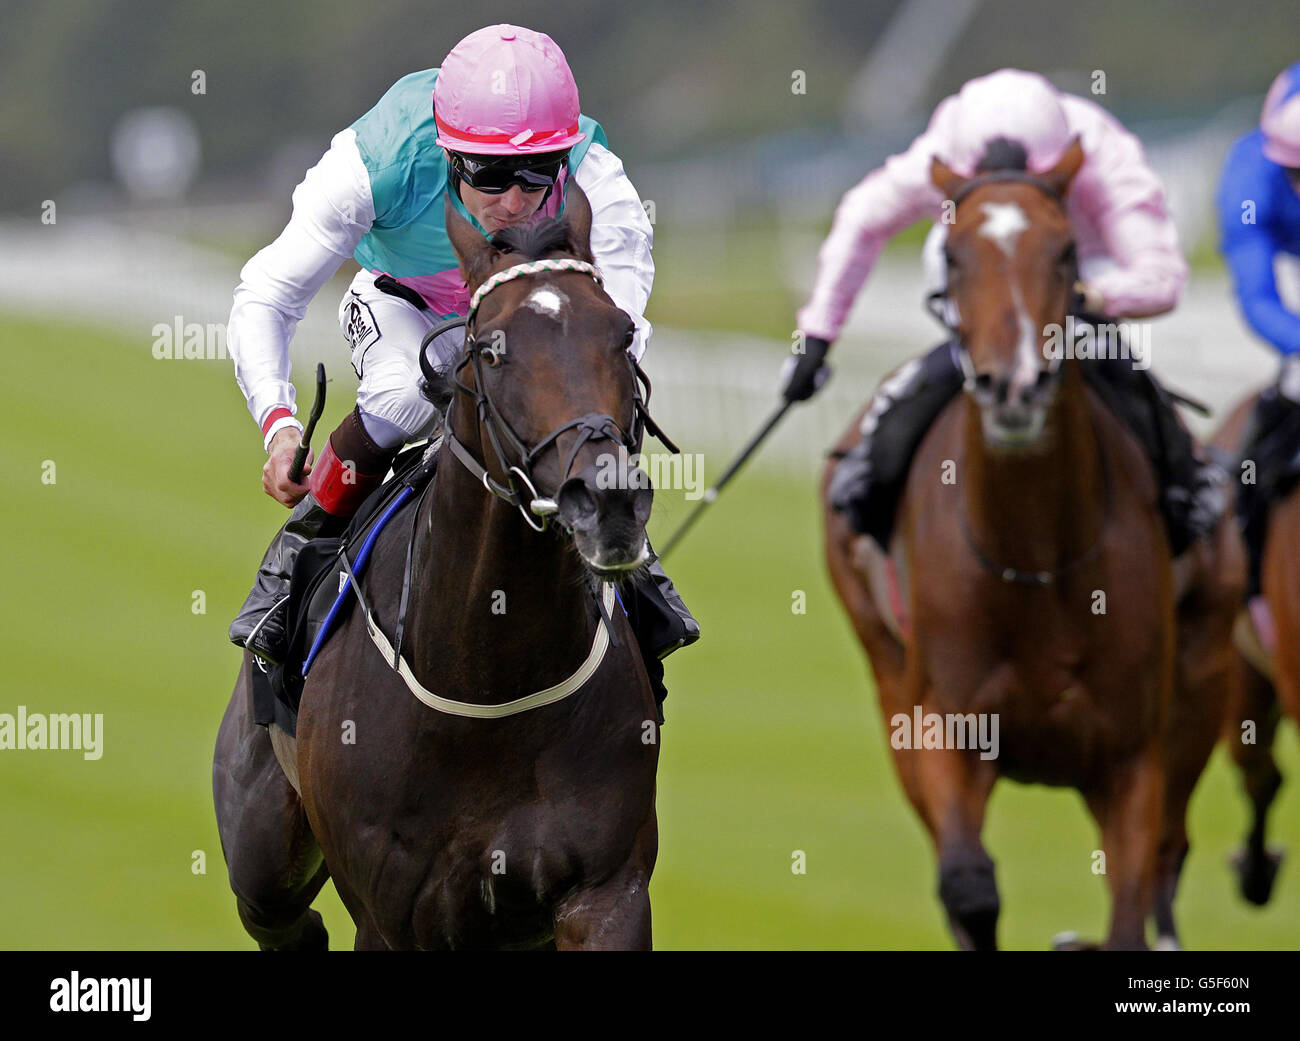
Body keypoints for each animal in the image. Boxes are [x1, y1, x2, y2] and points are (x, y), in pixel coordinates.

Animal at [214, 185, 665, 950]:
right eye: (493, 350)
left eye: (621, 335)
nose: (607, 502)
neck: (488, 681)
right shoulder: (390, 915)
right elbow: (272, 288)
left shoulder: (607, 891)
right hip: (260, 842)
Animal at [824, 138, 1233, 949]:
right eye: (952, 255)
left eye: (1067, 250)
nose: (1014, 385)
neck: (1037, 560)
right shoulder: (942, 727)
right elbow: (969, 886)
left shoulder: (1131, 755)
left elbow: (1129, 913)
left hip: (1202, 685)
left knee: (1170, 851)